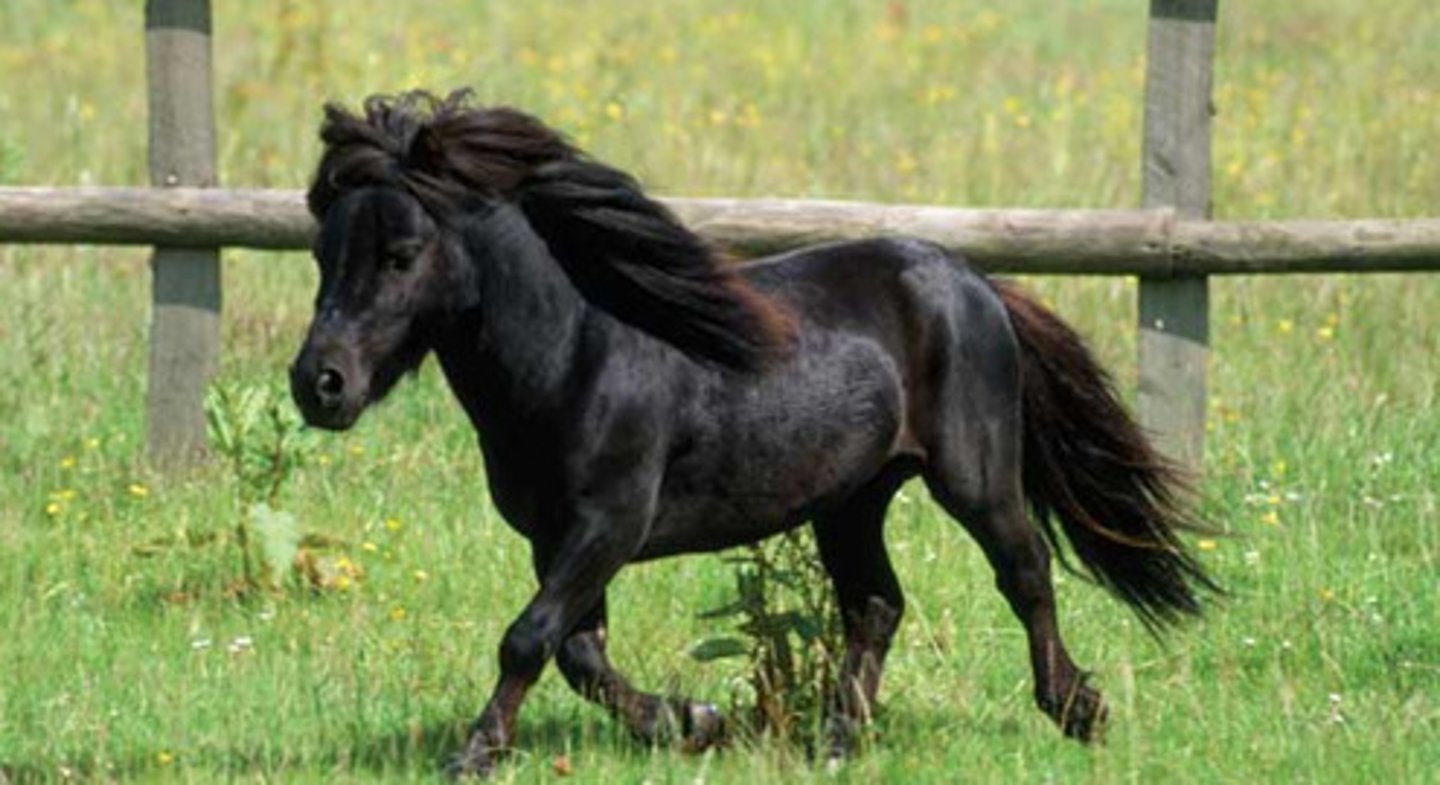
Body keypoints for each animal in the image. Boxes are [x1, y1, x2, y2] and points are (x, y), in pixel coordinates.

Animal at [289, 90, 1218, 777]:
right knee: (875, 602)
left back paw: (1077, 708)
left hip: (973, 475)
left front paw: (475, 753)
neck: (574, 354)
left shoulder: (607, 525)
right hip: (852, 497)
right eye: (324, 254)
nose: (318, 384)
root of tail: (974, 280)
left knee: (1023, 573)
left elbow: (528, 638)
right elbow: (578, 653)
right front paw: (695, 721)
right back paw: (838, 740)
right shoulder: (555, 537)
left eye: (402, 254)